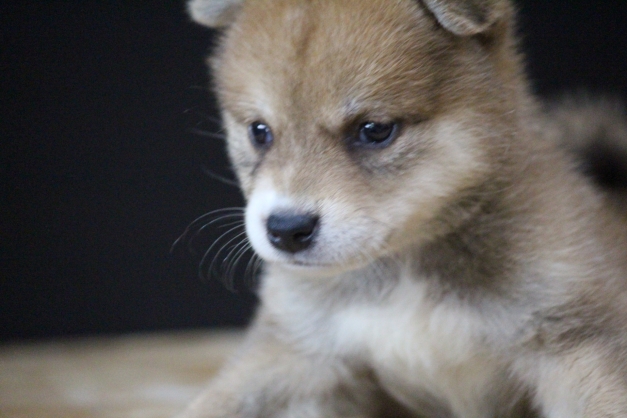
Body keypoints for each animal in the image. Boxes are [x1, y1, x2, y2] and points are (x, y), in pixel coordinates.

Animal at [179, 0, 627, 417]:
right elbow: (220, 401)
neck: (407, 271)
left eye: (374, 130)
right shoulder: (301, 350)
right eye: (260, 131)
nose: (286, 229)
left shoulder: (571, 344)